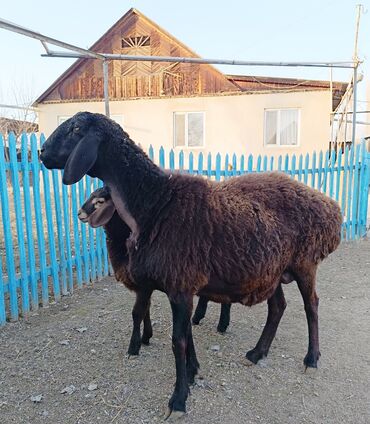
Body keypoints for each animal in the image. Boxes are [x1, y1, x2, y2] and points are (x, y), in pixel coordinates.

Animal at [77, 187, 231, 356]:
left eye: (100, 201)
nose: (79, 213)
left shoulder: (144, 286)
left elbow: (137, 313)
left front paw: (133, 347)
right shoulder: (145, 287)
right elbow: (146, 310)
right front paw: (146, 338)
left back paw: (220, 325)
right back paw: (200, 319)